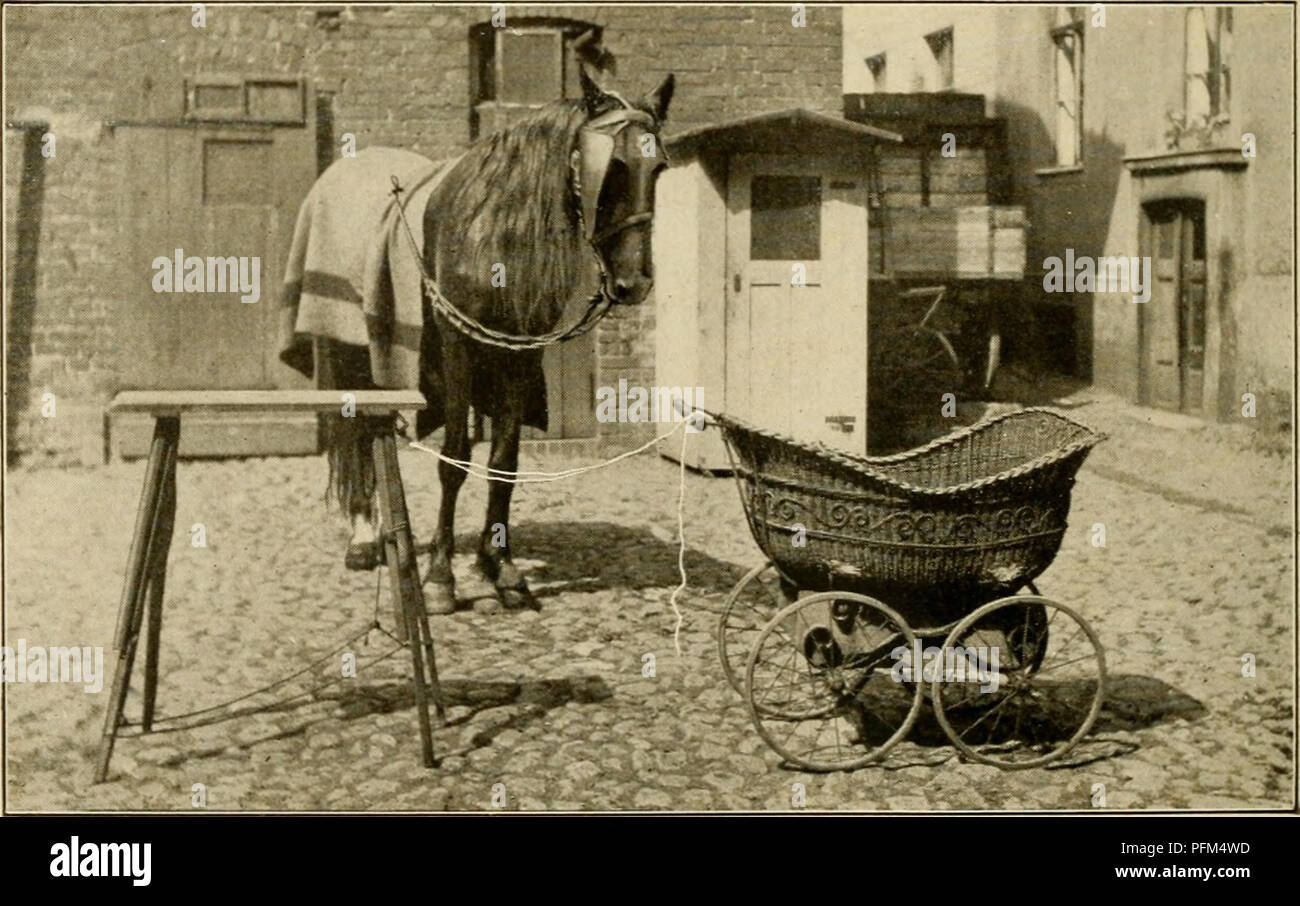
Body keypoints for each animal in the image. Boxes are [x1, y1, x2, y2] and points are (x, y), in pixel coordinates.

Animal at [312, 54, 670, 616]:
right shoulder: (460, 348)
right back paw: (364, 537)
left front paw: (500, 568)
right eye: (610, 166)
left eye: (658, 169)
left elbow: (504, 461)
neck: (493, 233)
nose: (634, 283)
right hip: (350, 357)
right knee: (355, 437)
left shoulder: (518, 355)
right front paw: (441, 578)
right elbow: (456, 460)